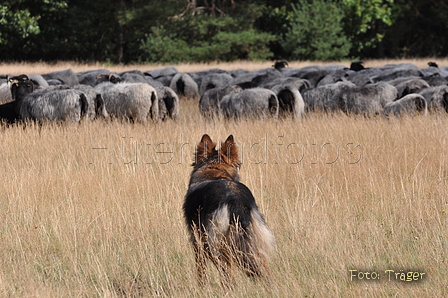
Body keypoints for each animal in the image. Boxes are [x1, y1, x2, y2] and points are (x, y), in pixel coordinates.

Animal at [183, 134, 274, 286]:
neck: (214, 170)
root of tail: (235, 201)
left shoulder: (197, 241)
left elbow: (201, 271)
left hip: (215, 246)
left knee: (227, 274)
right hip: (254, 243)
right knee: (263, 268)